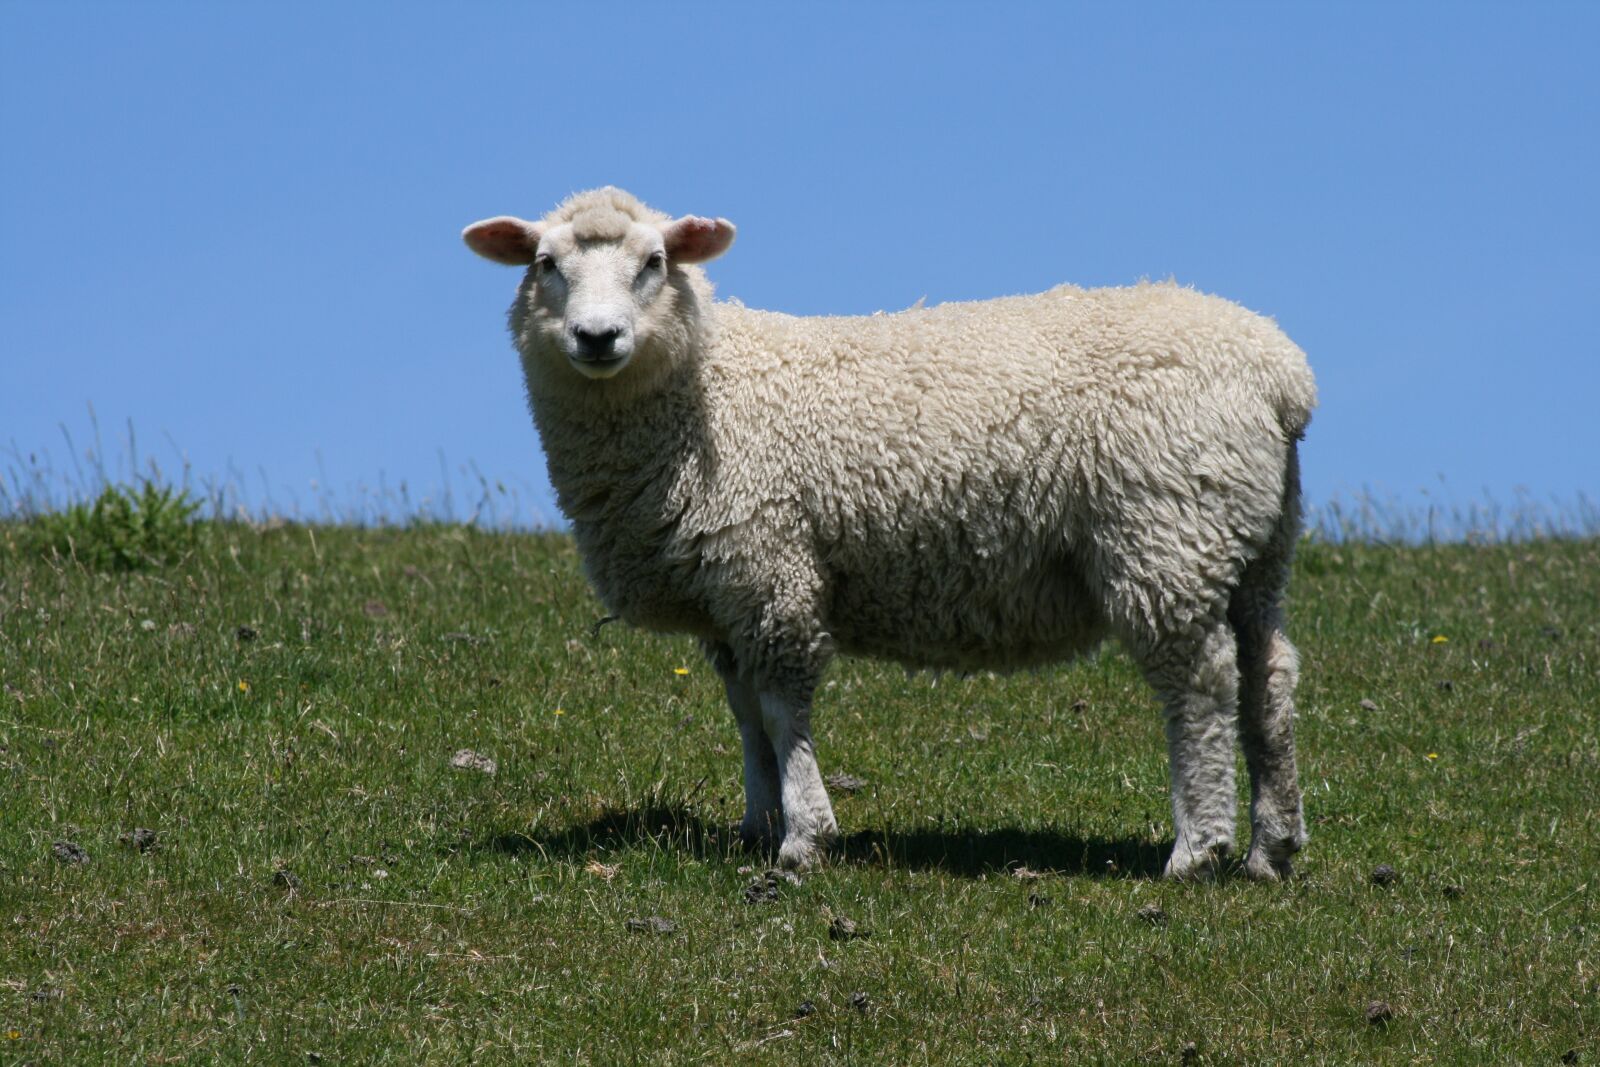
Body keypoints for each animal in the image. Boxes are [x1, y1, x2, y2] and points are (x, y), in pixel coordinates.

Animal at [463, 187, 1316, 881]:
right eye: (545, 263)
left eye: (654, 261)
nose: (596, 337)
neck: (703, 389)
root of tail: (1281, 372)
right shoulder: (728, 594)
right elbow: (745, 715)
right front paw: (756, 822)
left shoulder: (771, 567)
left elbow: (781, 707)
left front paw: (804, 836)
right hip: (1251, 546)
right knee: (1268, 677)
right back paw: (1269, 848)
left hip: (1165, 534)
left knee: (1201, 686)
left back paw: (1196, 848)